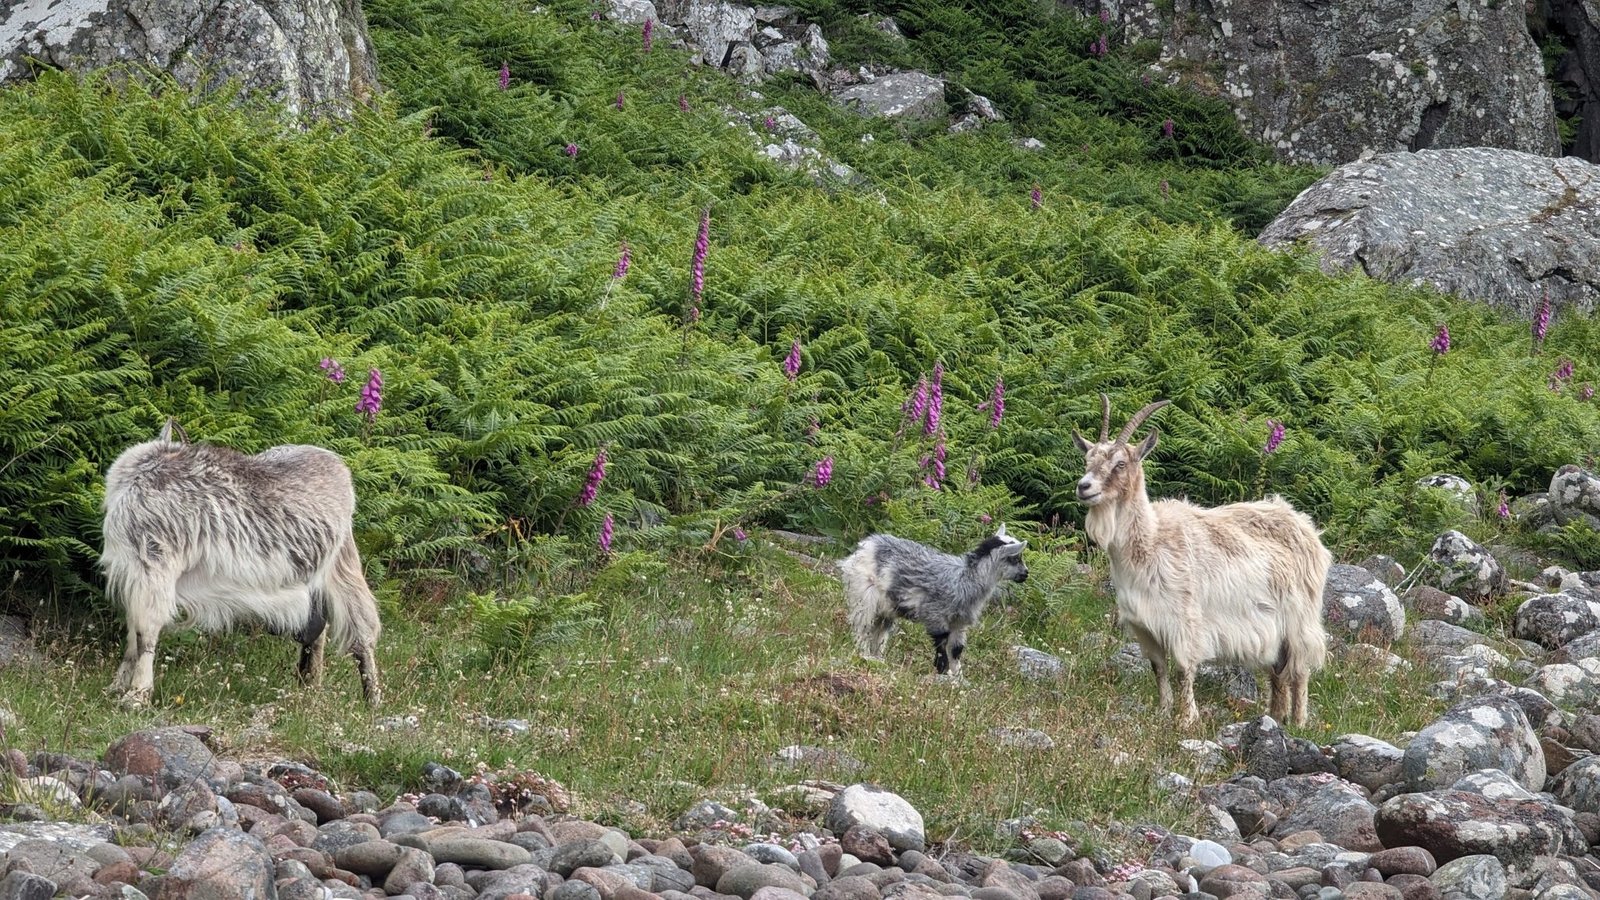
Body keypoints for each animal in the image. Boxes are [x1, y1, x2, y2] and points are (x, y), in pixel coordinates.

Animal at [100, 419, 382, 706]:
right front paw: (116, 687)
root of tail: (337, 466)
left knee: (361, 629)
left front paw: (136, 696)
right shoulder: (135, 573)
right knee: (318, 628)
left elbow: (144, 632)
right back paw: (310, 685)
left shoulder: (154, 563)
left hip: (343, 564)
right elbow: (132, 636)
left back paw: (372, 698)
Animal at [841, 526, 1028, 675]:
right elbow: (941, 642)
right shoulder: (935, 613)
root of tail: (867, 544)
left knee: (879, 632)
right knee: (862, 626)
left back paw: (877, 657)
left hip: (887, 608)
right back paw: (864, 654)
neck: (965, 579)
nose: (1026, 573)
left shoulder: (959, 623)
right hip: (864, 594)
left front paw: (958, 677)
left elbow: (956, 650)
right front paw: (943, 670)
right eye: (1015, 558)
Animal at [1073, 395, 1330, 727]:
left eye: (1120, 463)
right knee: (1278, 672)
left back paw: (1298, 722)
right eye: (1087, 460)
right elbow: (1159, 669)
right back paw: (1274, 716)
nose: (1084, 487)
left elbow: (1184, 669)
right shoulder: (1145, 626)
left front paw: (1186, 718)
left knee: (1300, 669)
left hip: (1300, 618)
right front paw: (1163, 712)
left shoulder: (1184, 619)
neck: (1151, 541)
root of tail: (1305, 527)